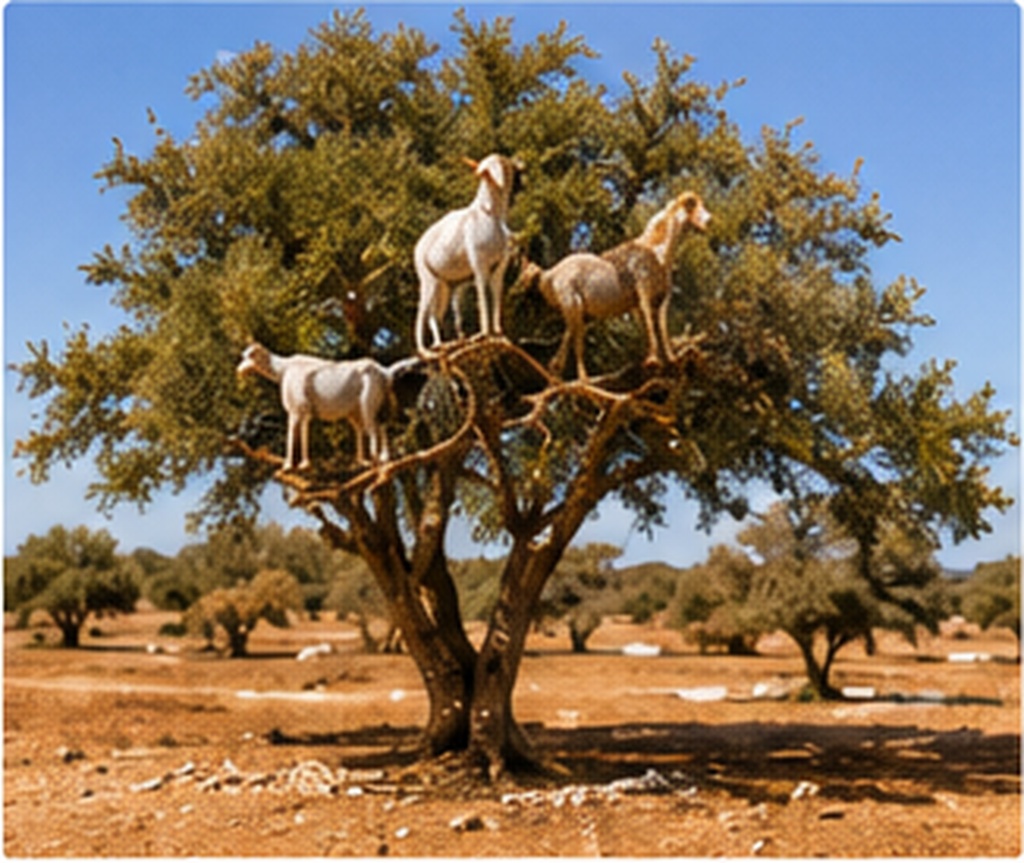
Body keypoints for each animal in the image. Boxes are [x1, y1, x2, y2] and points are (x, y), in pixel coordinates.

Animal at [237, 343, 391, 471]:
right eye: (243, 355)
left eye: (250, 355)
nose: (238, 371)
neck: (283, 369)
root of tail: (383, 372)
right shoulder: (304, 411)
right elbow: (302, 431)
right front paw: (302, 464)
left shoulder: (298, 408)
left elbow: (295, 432)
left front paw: (291, 466)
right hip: (356, 411)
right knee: (373, 426)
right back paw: (369, 460)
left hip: (367, 404)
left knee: (373, 427)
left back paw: (376, 458)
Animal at [414, 154, 518, 355]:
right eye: (485, 170)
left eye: (501, 166)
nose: (476, 171)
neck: (492, 216)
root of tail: (418, 245)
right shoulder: (479, 264)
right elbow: (483, 296)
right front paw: (484, 334)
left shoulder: (499, 268)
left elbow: (495, 296)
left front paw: (498, 334)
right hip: (427, 279)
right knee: (422, 311)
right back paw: (425, 351)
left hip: (444, 285)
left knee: (434, 314)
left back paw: (444, 345)